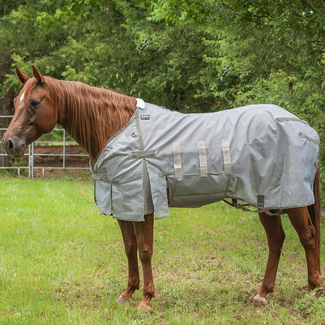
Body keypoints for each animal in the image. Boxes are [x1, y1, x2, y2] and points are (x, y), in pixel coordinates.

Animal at [1, 65, 322, 312]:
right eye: (16, 100)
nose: (9, 144)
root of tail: (304, 127)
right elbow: (129, 248)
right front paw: (128, 293)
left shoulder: (143, 204)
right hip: (266, 199)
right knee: (277, 240)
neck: (119, 129)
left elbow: (145, 250)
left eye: (34, 102)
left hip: (290, 199)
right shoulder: (123, 203)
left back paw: (313, 290)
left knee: (307, 236)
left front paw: (146, 301)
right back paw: (262, 293)